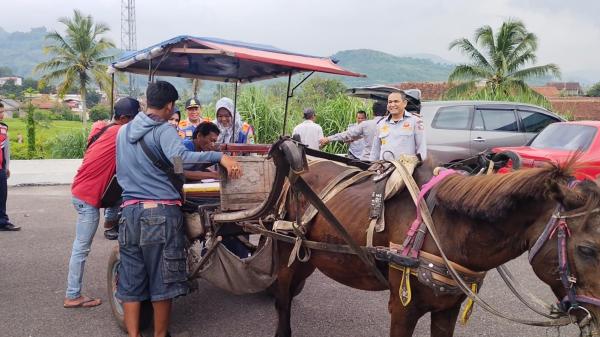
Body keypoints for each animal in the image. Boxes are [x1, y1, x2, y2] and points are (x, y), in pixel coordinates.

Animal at [266, 140, 600, 336]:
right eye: (587, 249)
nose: (597, 316)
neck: (444, 228)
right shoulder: (403, 307)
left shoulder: (447, 308)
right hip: (286, 251)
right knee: (282, 299)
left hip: (310, 257)